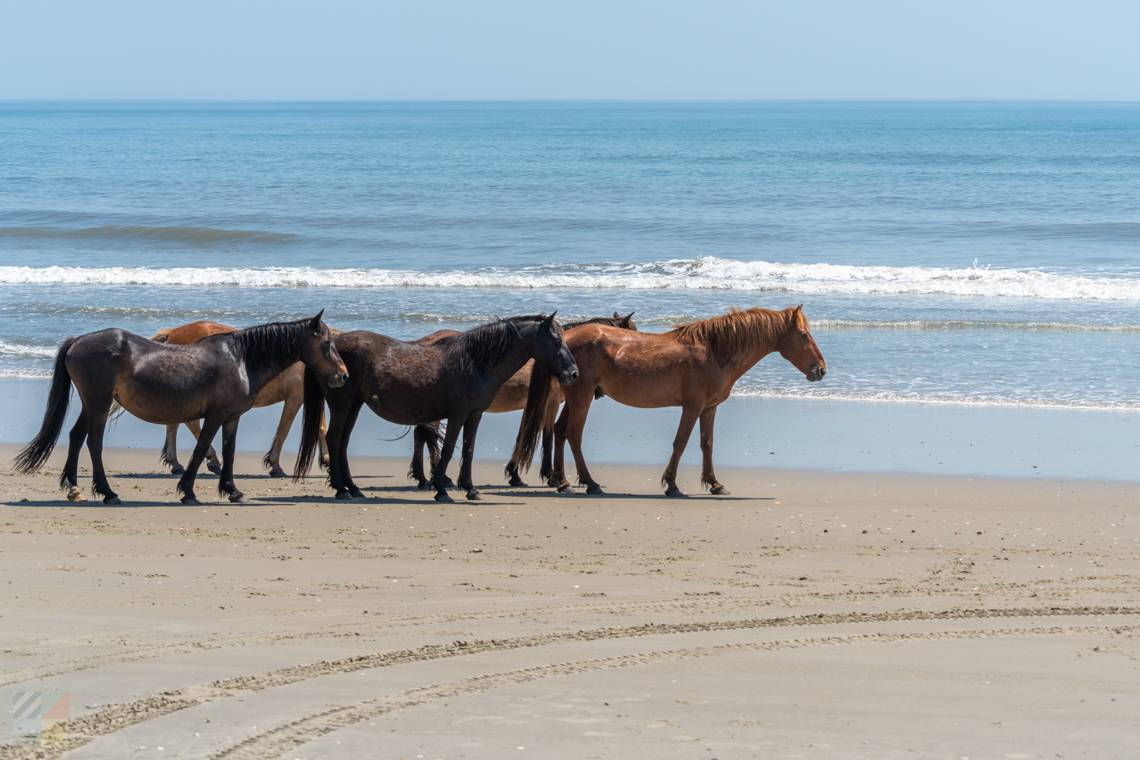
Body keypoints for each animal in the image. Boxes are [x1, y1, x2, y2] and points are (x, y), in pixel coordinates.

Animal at [148, 321, 333, 478]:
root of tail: (174, 331)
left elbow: (321, 428)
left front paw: (327, 460)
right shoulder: (295, 397)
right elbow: (283, 430)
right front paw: (274, 463)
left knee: (174, 425)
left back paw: (175, 462)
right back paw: (211, 459)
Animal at [295, 313, 579, 503]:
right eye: (556, 340)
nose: (574, 373)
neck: (475, 362)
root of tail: (334, 346)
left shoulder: (474, 416)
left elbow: (468, 450)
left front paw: (470, 489)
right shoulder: (457, 415)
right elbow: (449, 449)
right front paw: (441, 489)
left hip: (354, 405)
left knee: (342, 443)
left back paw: (353, 489)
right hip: (341, 405)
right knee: (334, 439)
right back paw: (341, 489)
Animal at [406, 312, 637, 489]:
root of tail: (421, 343)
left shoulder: (533, 406)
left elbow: (524, 435)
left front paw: (516, 474)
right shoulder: (550, 403)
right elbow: (547, 435)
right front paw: (551, 476)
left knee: (421, 435)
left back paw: (423, 477)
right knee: (427, 437)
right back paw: (438, 477)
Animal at [513, 305, 826, 498]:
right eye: (803, 335)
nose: (820, 370)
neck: (715, 351)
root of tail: (567, 337)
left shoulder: (709, 408)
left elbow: (706, 444)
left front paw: (715, 484)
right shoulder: (692, 406)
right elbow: (681, 442)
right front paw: (672, 484)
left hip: (576, 397)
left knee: (560, 431)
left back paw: (563, 481)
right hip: (582, 398)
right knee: (573, 435)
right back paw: (589, 484)